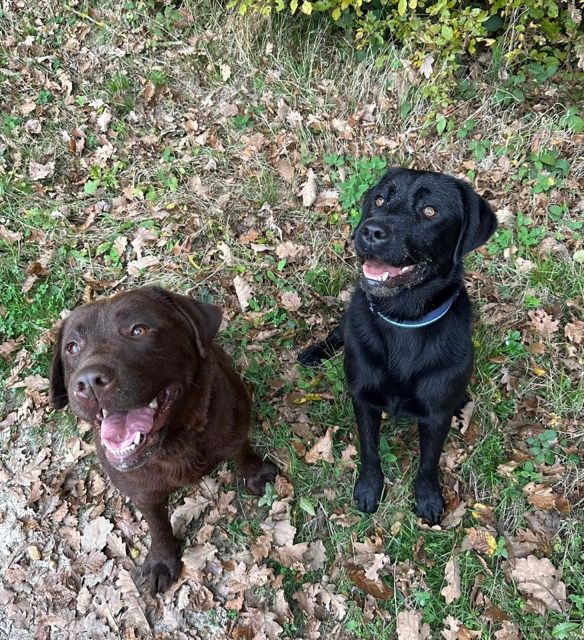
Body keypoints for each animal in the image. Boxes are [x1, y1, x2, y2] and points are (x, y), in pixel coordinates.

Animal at [49, 288, 278, 592]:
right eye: (73, 347)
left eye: (139, 330)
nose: (88, 381)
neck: (174, 443)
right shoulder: (144, 494)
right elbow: (158, 525)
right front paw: (162, 560)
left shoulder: (236, 427)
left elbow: (242, 451)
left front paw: (257, 473)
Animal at [302, 168, 498, 524]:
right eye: (379, 200)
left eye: (430, 211)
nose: (370, 230)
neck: (403, 321)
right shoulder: (364, 398)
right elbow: (369, 449)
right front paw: (369, 488)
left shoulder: (436, 414)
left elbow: (429, 461)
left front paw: (428, 497)